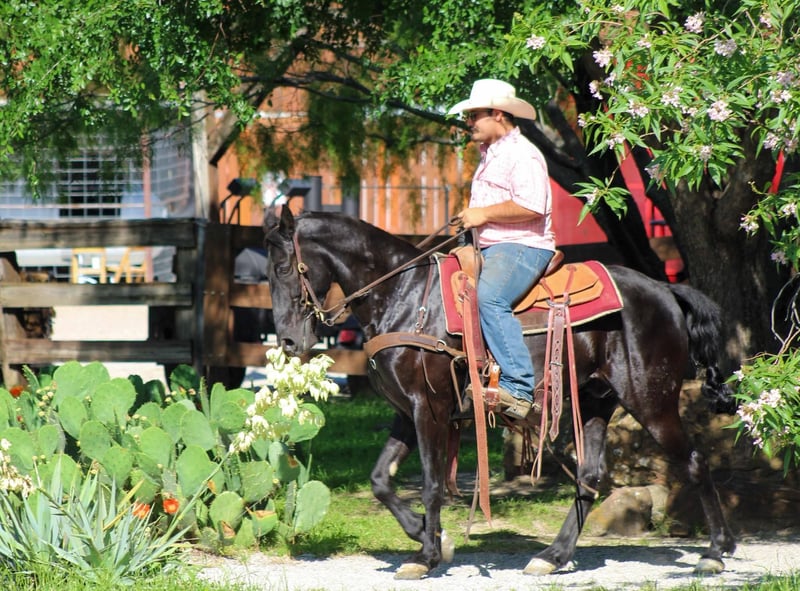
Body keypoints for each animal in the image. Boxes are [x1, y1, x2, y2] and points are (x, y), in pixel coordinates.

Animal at [264, 207, 737, 580]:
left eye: (284, 268)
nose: (287, 341)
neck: (404, 296)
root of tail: (665, 289)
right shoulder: (406, 412)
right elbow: (381, 480)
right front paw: (430, 538)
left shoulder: (429, 410)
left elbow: (432, 484)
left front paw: (427, 555)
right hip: (594, 401)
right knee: (589, 477)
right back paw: (553, 555)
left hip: (651, 401)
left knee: (694, 461)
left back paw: (716, 551)